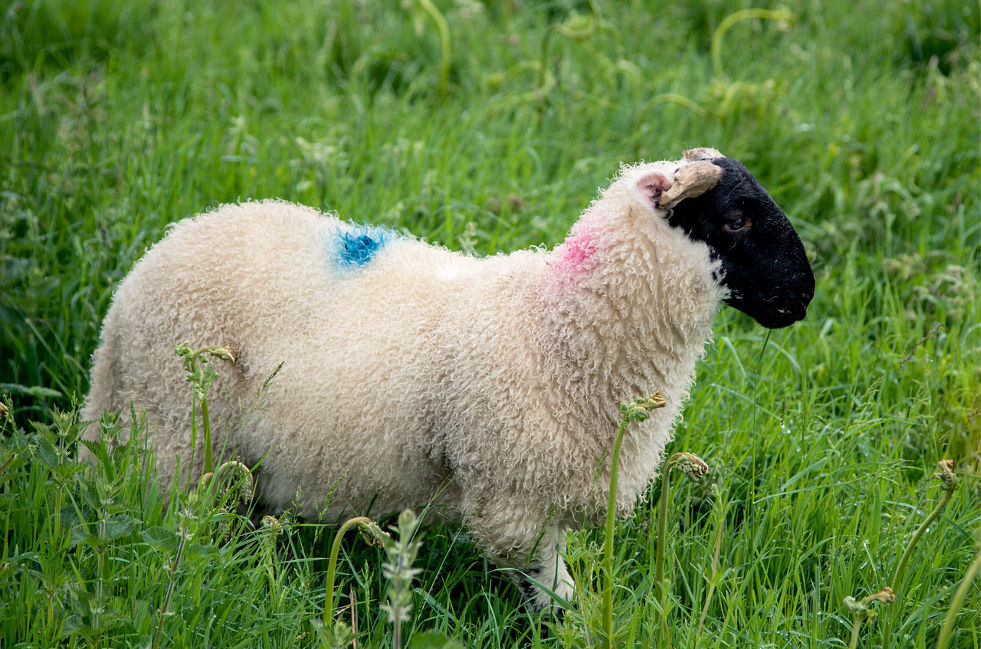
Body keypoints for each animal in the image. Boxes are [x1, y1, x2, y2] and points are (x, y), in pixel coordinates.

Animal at [80, 148, 814, 611]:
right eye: (735, 218)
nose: (805, 294)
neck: (555, 325)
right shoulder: (514, 499)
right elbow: (554, 599)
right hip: (172, 432)